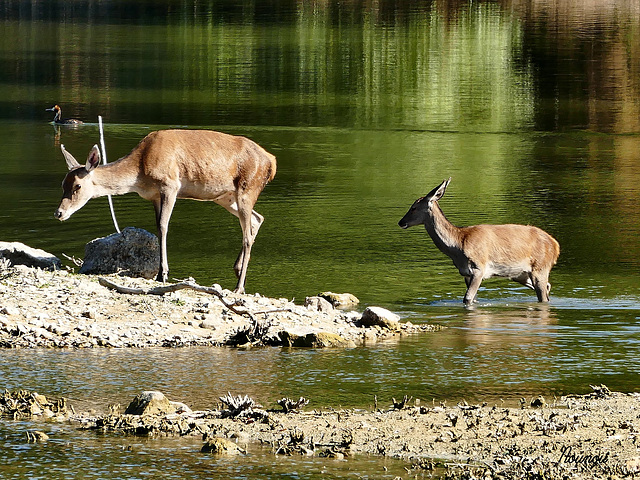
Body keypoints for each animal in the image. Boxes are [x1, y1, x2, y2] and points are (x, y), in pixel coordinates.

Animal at [55, 128, 276, 292]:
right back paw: (237, 270)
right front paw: (160, 273)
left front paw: (163, 274)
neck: (140, 173)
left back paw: (239, 286)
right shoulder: (153, 195)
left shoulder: (170, 185)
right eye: (62, 184)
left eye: (77, 186)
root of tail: (271, 162)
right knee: (257, 219)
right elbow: (157, 226)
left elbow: (163, 226)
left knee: (247, 235)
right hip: (225, 197)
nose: (59, 212)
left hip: (248, 188)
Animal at [400, 178, 560, 306]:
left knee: (543, 294)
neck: (458, 245)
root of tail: (555, 245)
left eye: (413, 208)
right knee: (547, 287)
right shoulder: (466, 273)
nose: (401, 222)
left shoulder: (479, 268)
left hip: (540, 267)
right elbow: (473, 298)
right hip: (521, 274)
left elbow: (467, 298)